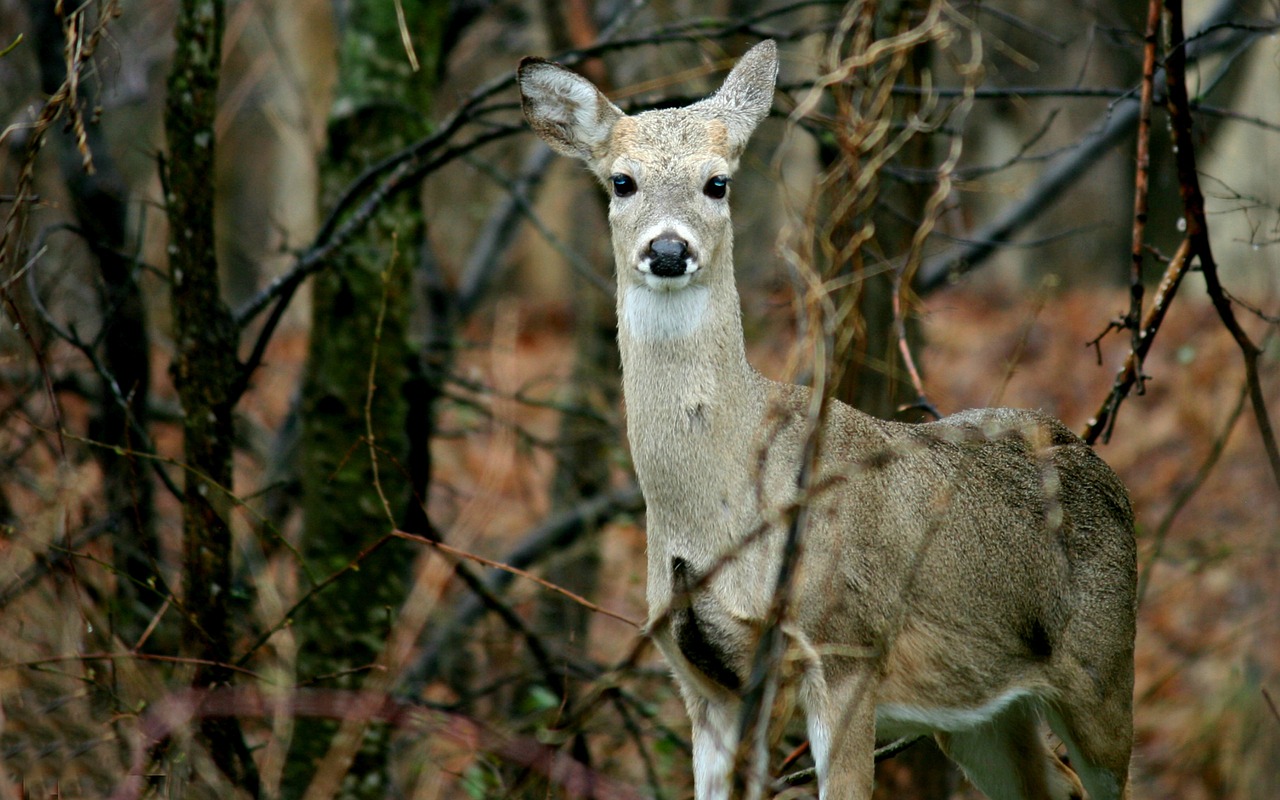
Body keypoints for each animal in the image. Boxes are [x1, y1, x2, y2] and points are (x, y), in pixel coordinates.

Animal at [514, 39, 1136, 798]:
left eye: (718, 183)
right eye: (622, 182)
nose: (667, 250)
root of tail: (1096, 460)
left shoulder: (845, 645)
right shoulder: (702, 679)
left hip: (1103, 673)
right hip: (983, 716)